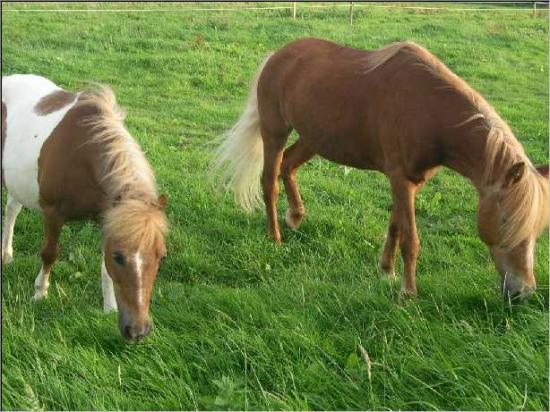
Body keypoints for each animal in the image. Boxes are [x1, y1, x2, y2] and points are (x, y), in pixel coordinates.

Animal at [1, 75, 168, 342]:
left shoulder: (106, 218)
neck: (82, 154)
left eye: (161, 256)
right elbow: (49, 253)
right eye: (119, 257)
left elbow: (104, 268)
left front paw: (109, 307)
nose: (138, 331)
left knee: (12, 209)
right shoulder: (53, 213)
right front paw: (39, 293)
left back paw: (6, 254)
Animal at [213, 38, 548, 300]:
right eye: (506, 221)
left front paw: (386, 271)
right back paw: (275, 237)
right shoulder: (401, 179)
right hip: (275, 132)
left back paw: (295, 216)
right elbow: (411, 239)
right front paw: (408, 293)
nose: (523, 291)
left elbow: (395, 226)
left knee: (288, 166)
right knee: (269, 180)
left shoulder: (409, 182)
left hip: (313, 139)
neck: (429, 110)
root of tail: (277, 56)